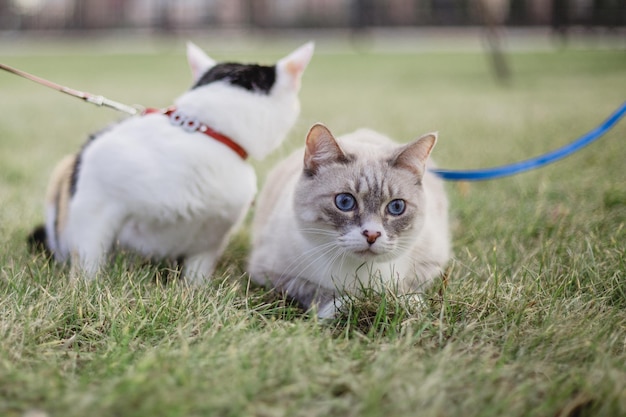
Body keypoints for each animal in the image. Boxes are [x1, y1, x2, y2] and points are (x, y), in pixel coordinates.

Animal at [249, 122, 448, 316]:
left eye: (396, 207)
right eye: (345, 202)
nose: (372, 234)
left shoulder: (431, 264)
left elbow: (406, 285)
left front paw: (410, 303)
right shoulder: (270, 273)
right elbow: (311, 288)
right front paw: (342, 304)